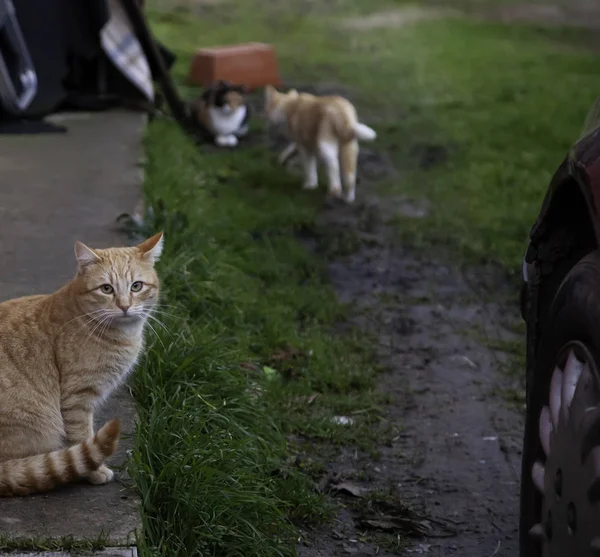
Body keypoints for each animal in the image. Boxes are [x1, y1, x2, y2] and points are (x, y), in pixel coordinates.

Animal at [0, 230, 164, 496]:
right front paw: (94, 472)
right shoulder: (77, 398)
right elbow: (82, 436)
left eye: (136, 286)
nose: (125, 306)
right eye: (106, 289)